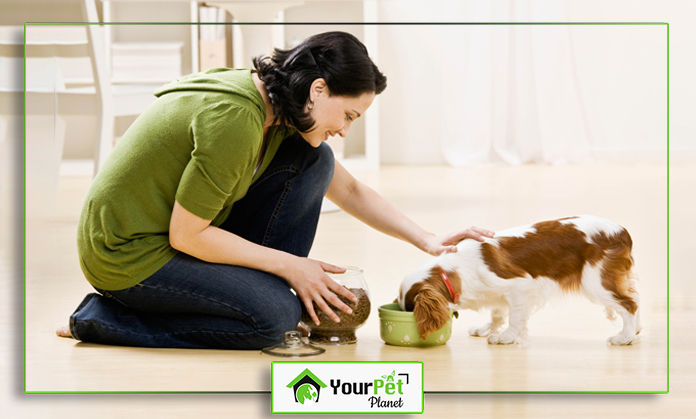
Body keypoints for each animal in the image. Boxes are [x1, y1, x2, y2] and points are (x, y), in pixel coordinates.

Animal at [400, 215, 640, 346]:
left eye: (411, 309)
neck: (453, 271)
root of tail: (622, 231)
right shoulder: (497, 292)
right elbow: (497, 313)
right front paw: (487, 329)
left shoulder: (520, 287)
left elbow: (515, 318)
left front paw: (506, 337)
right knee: (634, 299)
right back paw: (635, 331)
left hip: (595, 283)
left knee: (629, 304)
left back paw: (624, 337)